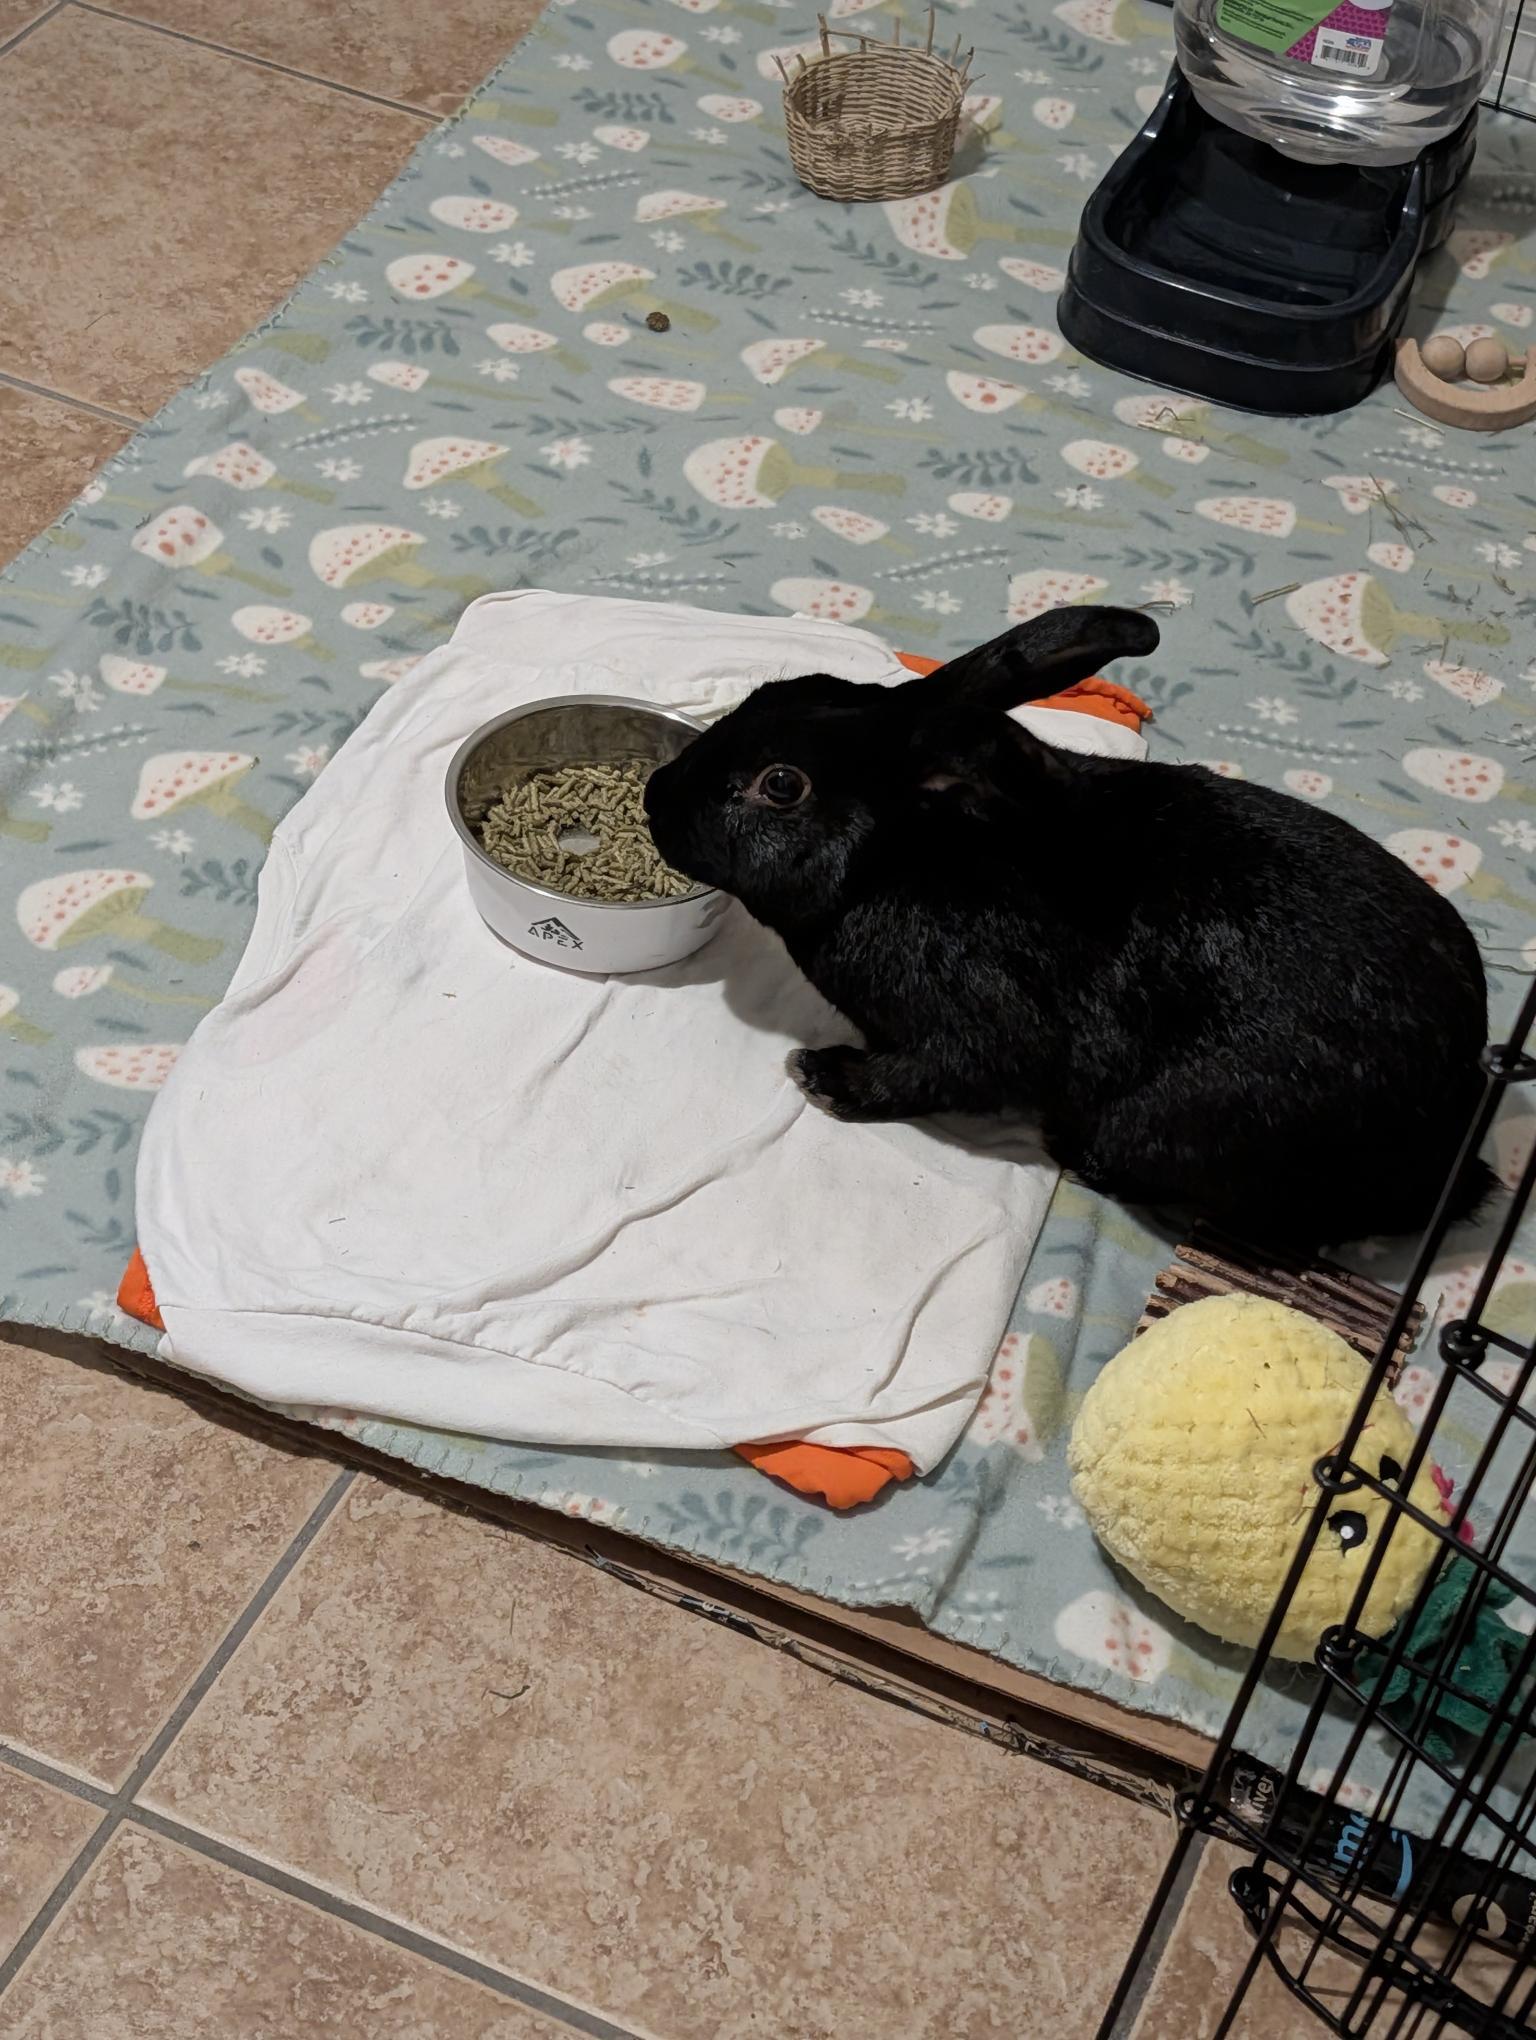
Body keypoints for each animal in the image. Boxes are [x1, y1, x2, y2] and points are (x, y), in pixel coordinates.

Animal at [643, 605, 1493, 1248]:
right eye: (774, 690)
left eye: (781, 785)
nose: (656, 796)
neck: (896, 860)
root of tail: (1444, 1143)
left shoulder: (981, 1028)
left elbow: (930, 1074)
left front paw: (824, 1076)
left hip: (1169, 1123)